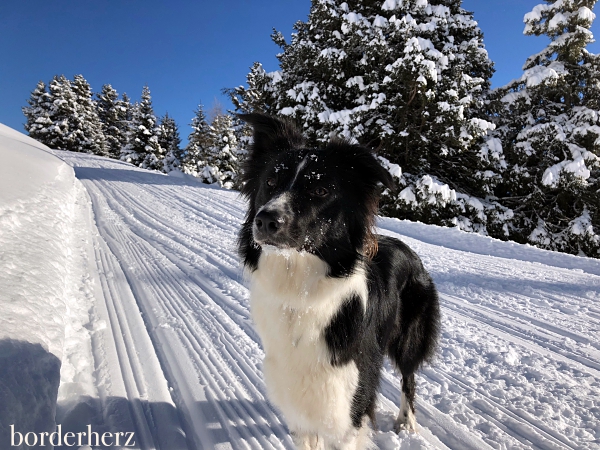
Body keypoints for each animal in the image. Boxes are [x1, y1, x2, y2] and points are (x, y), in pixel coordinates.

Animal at [239, 114, 440, 448]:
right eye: (269, 183)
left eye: (320, 190)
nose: (266, 220)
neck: (299, 296)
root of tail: (412, 253)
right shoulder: (300, 407)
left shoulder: (349, 411)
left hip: (409, 338)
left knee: (409, 378)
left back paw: (407, 423)